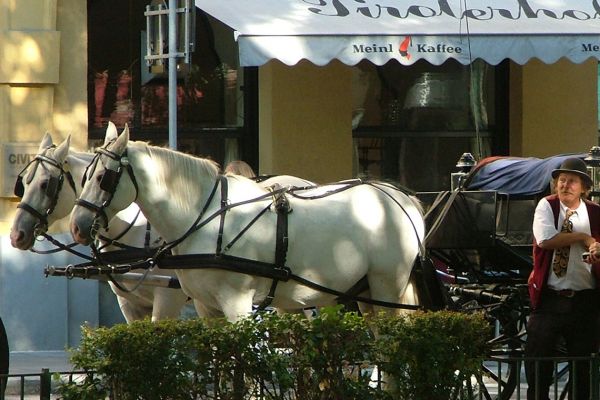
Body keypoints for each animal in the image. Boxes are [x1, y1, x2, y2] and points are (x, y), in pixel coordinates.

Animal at [71, 126, 426, 322]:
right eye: (85, 175)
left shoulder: (237, 303)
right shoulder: (207, 309)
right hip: (365, 292)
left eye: (104, 178)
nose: (77, 225)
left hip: (387, 287)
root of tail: (399, 196)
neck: (206, 217)